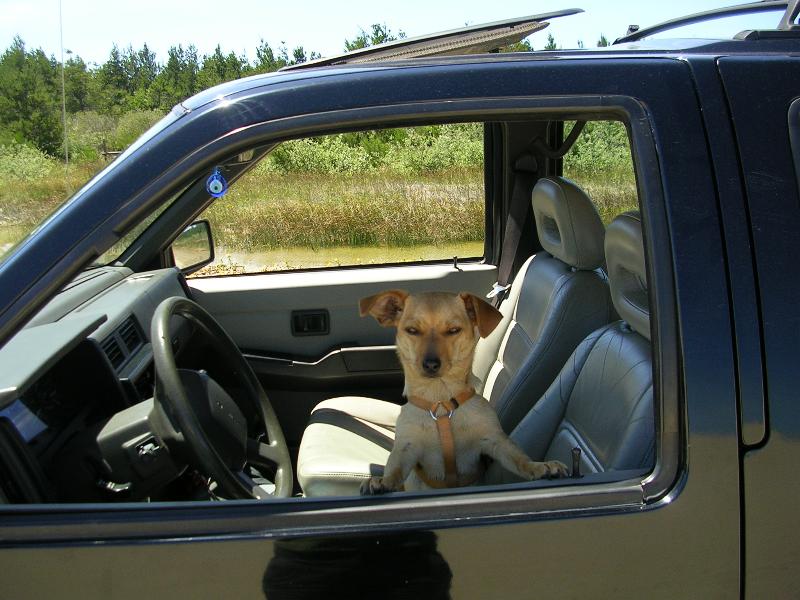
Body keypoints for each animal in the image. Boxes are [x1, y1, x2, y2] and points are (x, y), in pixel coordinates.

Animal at [359, 290, 568, 495]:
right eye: (412, 331)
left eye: (453, 330)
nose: (430, 364)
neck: (440, 401)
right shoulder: (406, 448)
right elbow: (395, 470)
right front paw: (383, 481)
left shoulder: (495, 440)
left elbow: (519, 459)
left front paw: (539, 467)